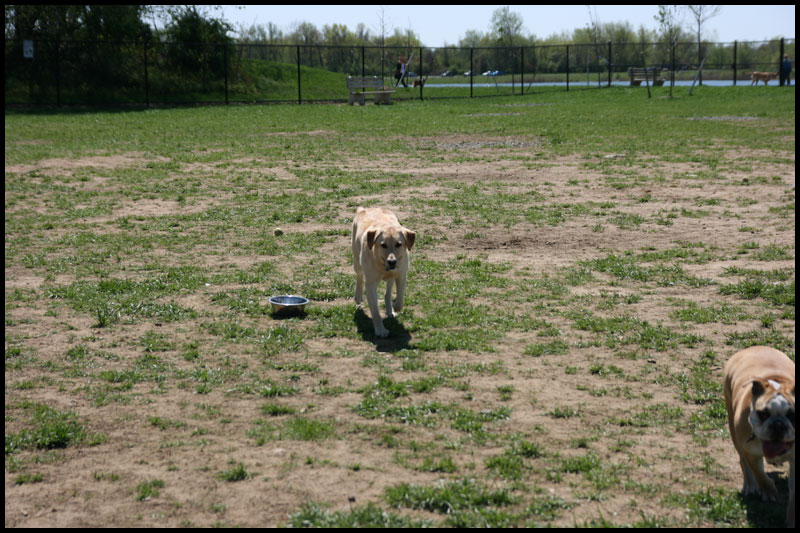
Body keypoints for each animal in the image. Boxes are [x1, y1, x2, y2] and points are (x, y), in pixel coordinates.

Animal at [354, 207, 418, 336]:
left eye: (399, 244)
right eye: (383, 245)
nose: (392, 262)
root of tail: (364, 208)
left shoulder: (401, 275)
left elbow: (400, 299)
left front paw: (394, 307)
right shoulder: (371, 284)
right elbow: (375, 311)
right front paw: (380, 330)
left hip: (391, 279)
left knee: (387, 293)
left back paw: (389, 310)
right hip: (356, 260)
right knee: (359, 276)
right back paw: (358, 296)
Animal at [724, 348, 792, 524]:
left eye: (793, 415)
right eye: (763, 414)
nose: (778, 424)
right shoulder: (750, 452)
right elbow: (759, 473)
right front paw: (768, 491)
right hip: (734, 429)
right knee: (744, 462)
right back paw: (750, 484)